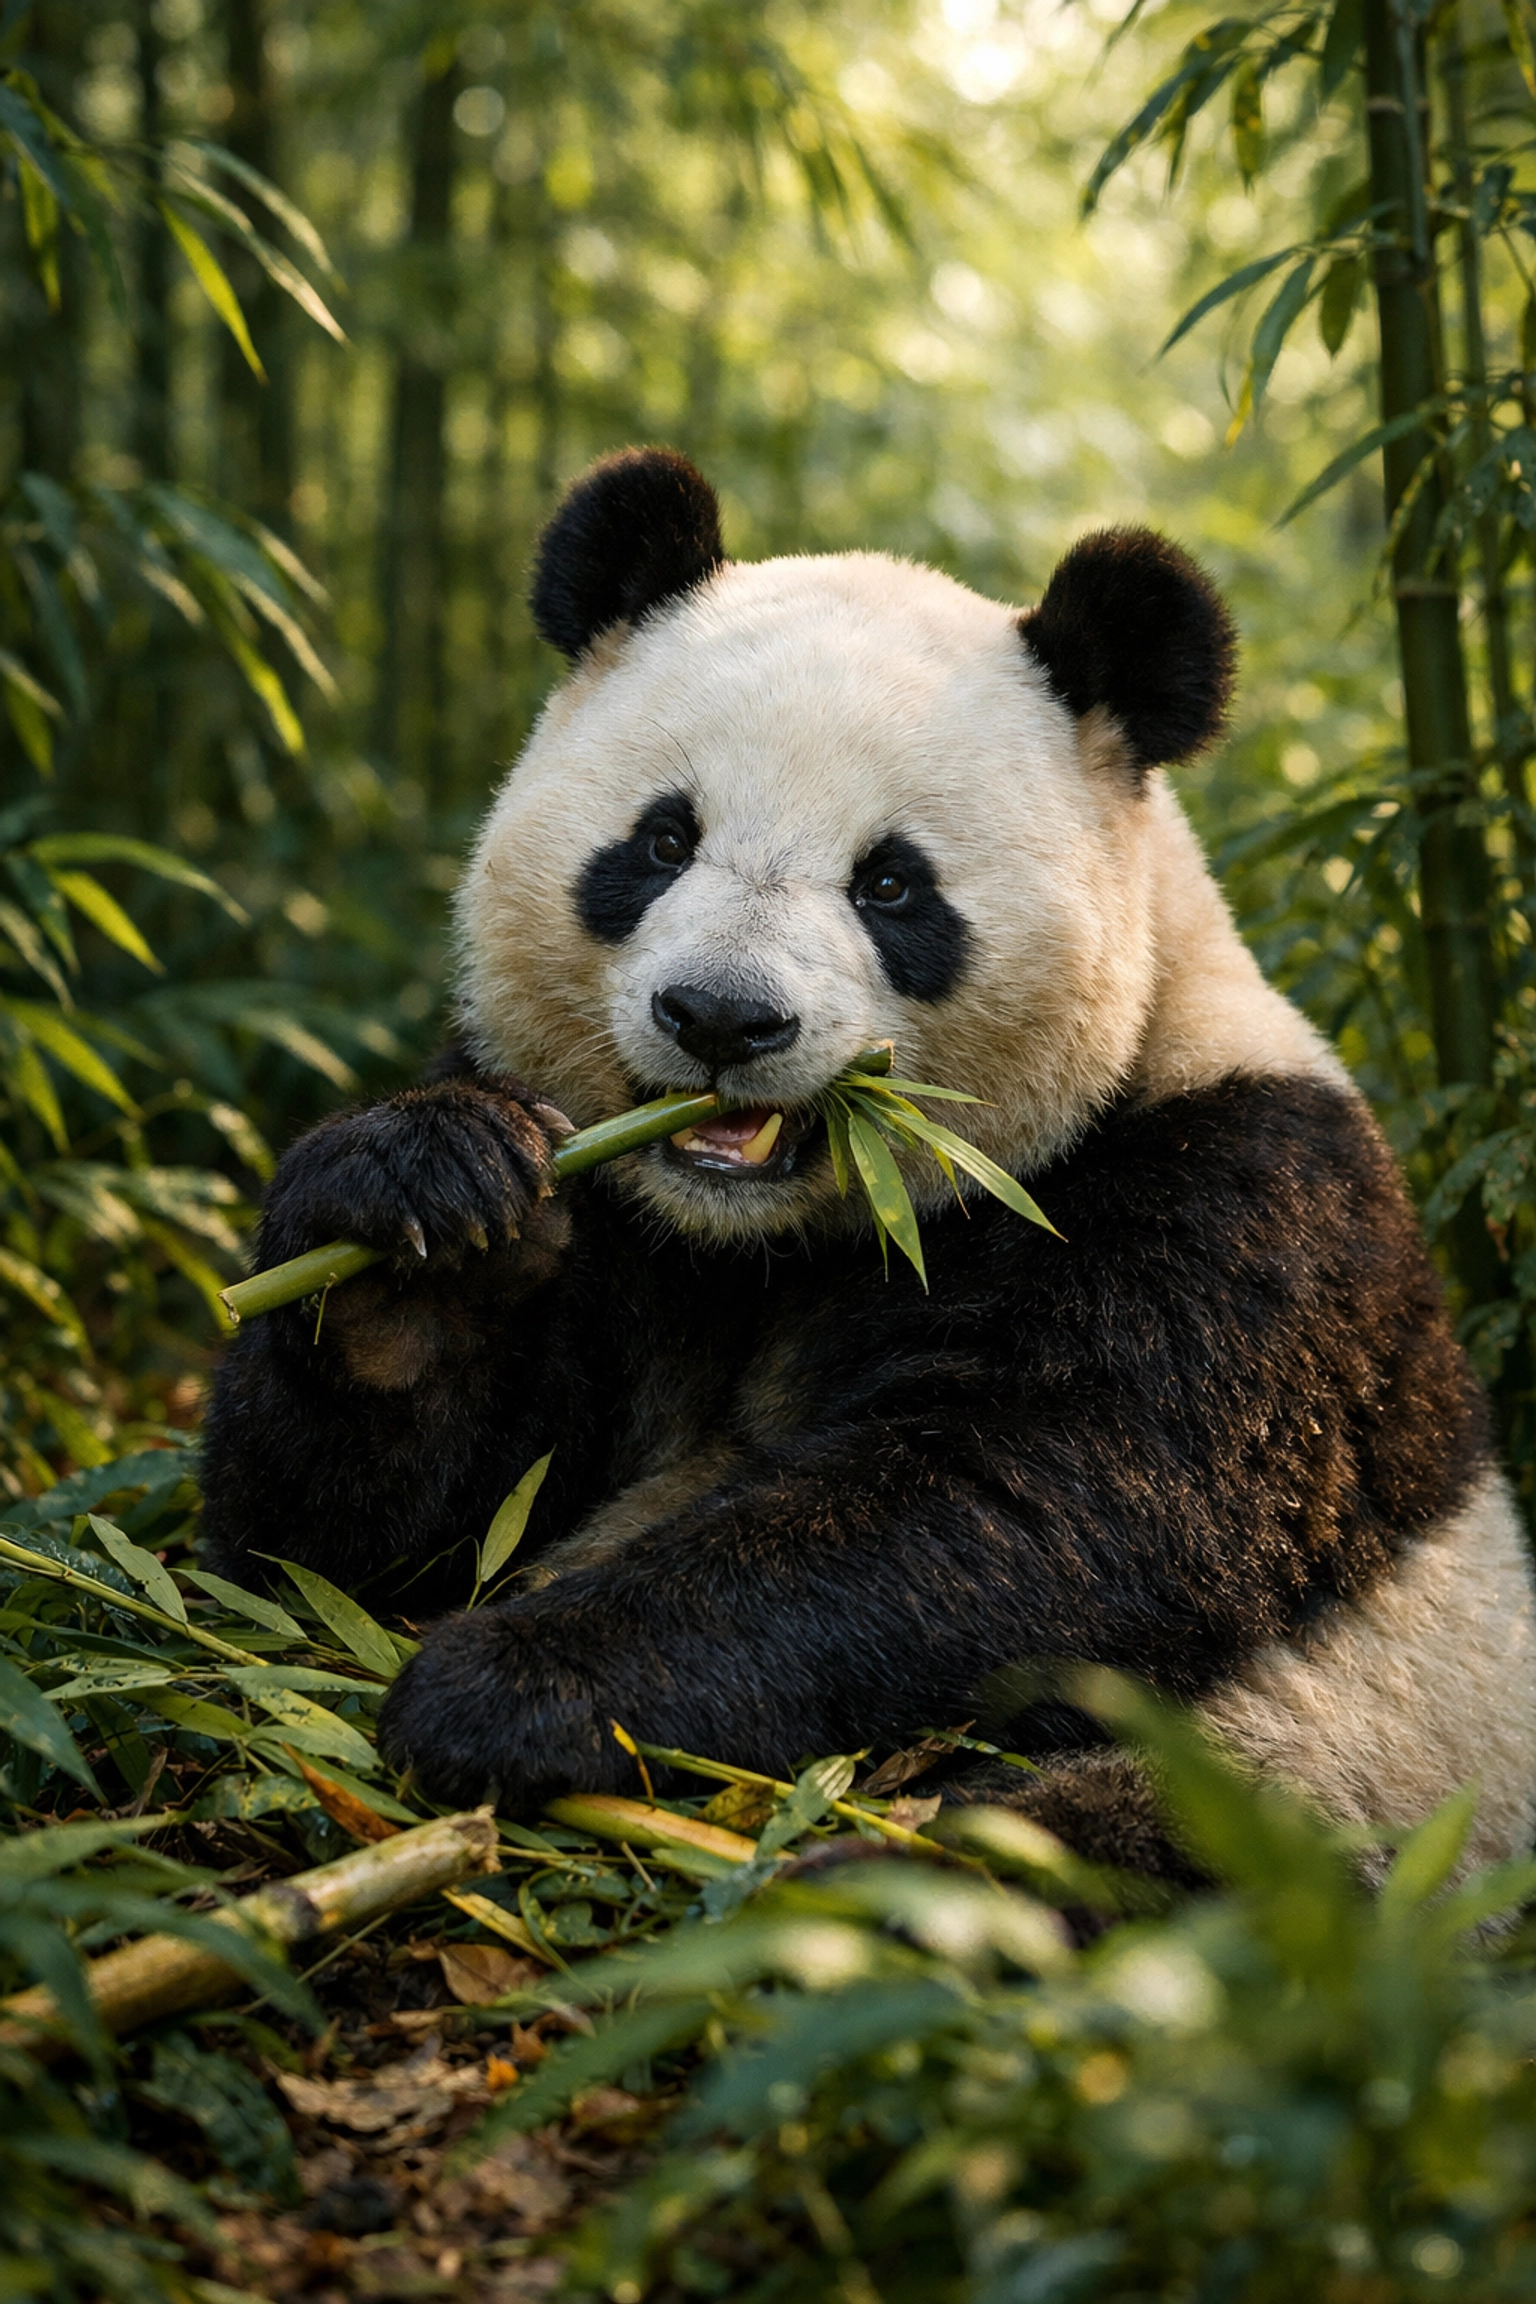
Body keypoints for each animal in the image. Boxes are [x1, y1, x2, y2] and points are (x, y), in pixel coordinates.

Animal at [201, 445, 1536, 1878]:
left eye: (892, 886)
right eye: (661, 841)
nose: (722, 1017)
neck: (768, 1240)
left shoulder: (1233, 1209)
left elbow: (1037, 1506)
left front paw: (512, 1687)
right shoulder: (615, 1222)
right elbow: (329, 1548)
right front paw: (418, 1239)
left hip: (1334, 1778)